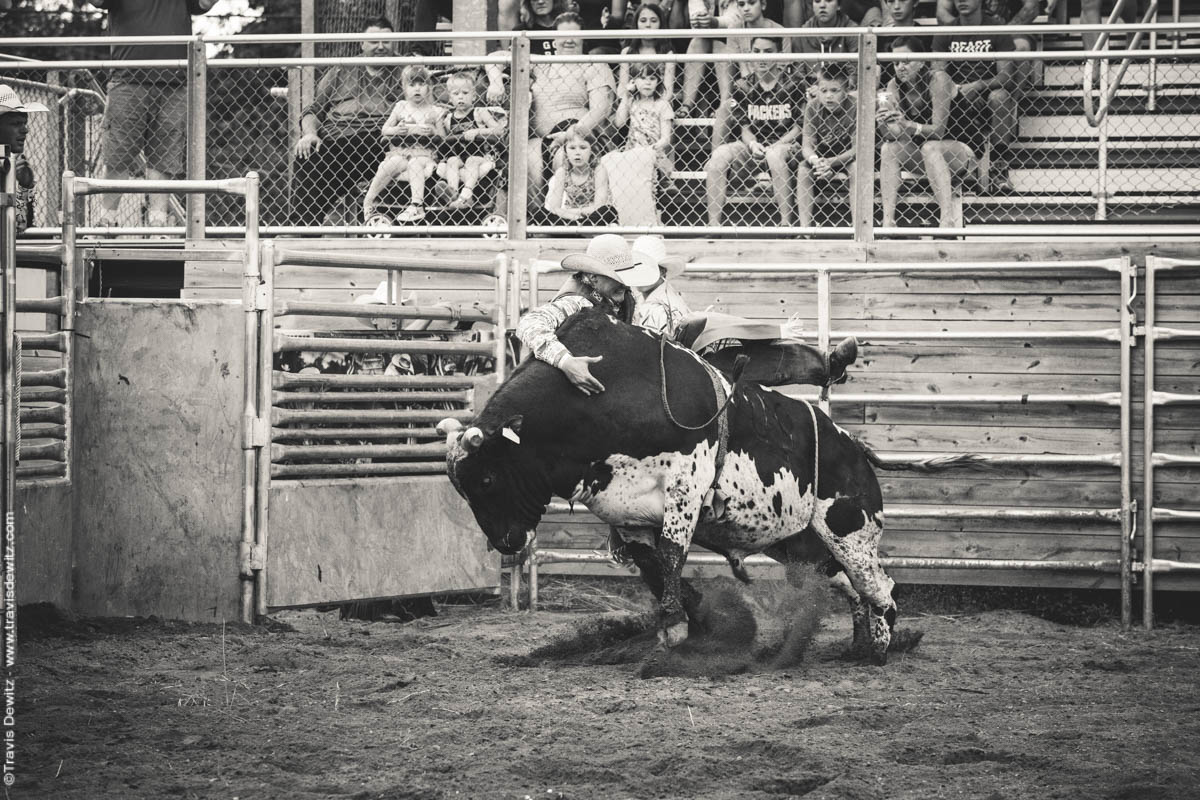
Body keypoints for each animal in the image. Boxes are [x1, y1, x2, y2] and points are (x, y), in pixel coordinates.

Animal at [441, 309, 974, 666]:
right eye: (464, 490)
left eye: (487, 477)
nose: (504, 542)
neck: (605, 398)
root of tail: (857, 448)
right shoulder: (625, 512)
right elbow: (653, 565)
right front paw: (686, 622)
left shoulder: (684, 484)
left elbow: (672, 553)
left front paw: (675, 631)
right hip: (803, 544)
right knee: (852, 585)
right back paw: (857, 645)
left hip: (850, 529)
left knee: (880, 586)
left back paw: (878, 650)